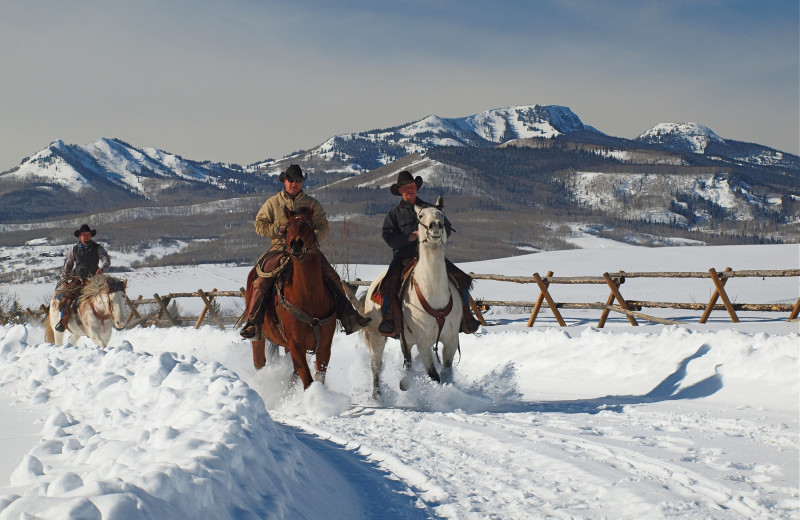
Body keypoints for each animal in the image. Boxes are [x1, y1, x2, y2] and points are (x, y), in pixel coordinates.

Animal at [250, 205, 338, 388]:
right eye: (287, 226)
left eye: (309, 224)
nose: (296, 244)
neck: (310, 297)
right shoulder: (296, 346)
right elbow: (308, 380)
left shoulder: (324, 347)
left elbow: (319, 378)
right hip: (259, 339)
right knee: (259, 361)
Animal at [362, 196, 462, 398]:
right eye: (421, 216)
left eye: (441, 214)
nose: (435, 226)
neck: (434, 296)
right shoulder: (423, 342)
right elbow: (433, 376)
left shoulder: (451, 340)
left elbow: (446, 373)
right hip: (377, 336)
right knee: (376, 365)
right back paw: (378, 396)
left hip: (406, 340)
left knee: (407, 362)